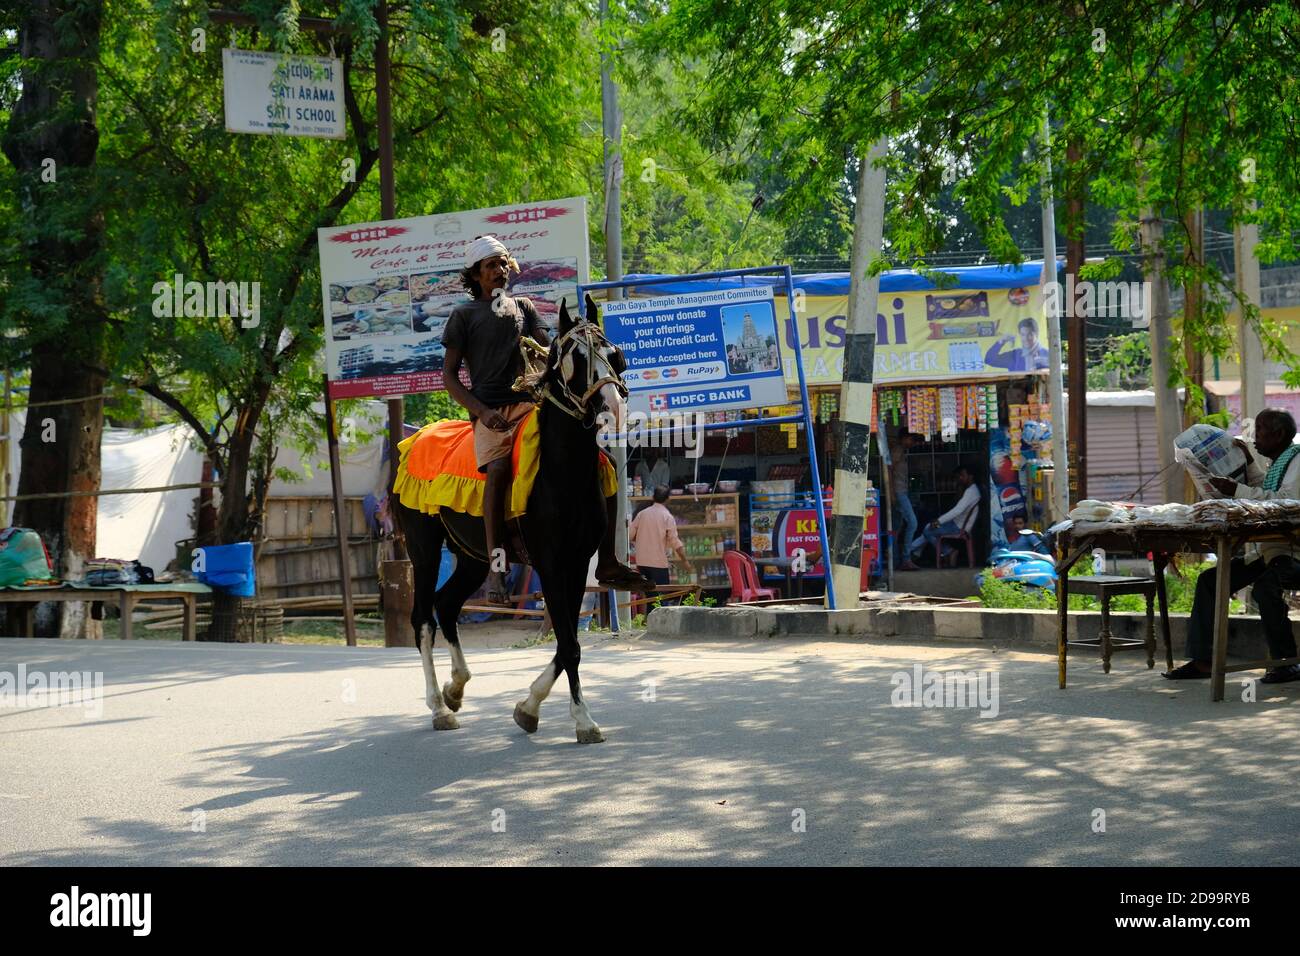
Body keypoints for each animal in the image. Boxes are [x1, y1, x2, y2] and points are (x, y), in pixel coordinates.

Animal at [387, 295, 626, 743]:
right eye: (576, 358)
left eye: (614, 353)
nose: (612, 406)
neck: (562, 470)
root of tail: (412, 441)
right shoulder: (550, 564)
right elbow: (569, 645)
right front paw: (583, 720)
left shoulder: (576, 563)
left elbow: (565, 642)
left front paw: (528, 706)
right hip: (423, 548)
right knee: (423, 619)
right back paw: (438, 706)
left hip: (472, 557)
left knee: (447, 605)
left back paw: (456, 687)